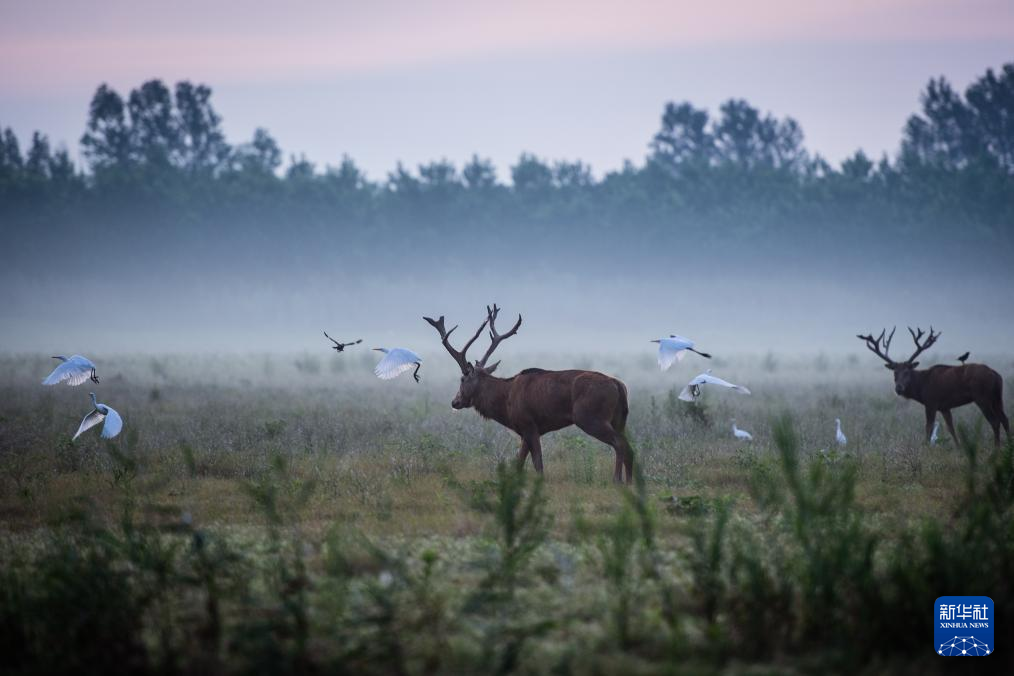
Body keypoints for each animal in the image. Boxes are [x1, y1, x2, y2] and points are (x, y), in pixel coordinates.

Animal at [424, 305, 634, 483]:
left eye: (462, 379)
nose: (455, 401)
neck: (505, 403)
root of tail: (618, 385)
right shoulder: (526, 429)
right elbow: (519, 461)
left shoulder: (528, 423)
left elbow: (538, 463)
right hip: (619, 419)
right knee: (629, 446)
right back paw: (631, 482)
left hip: (590, 417)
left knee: (619, 443)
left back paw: (617, 480)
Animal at [857, 326, 1010, 447]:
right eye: (895, 372)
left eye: (907, 371)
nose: (899, 388)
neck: (921, 387)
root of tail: (996, 375)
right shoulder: (944, 407)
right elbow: (950, 427)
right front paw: (959, 447)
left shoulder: (931, 402)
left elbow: (928, 428)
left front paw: (926, 447)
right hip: (997, 397)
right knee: (1005, 418)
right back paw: (1009, 444)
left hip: (982, 396)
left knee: (995, 421)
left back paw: (996, 448)